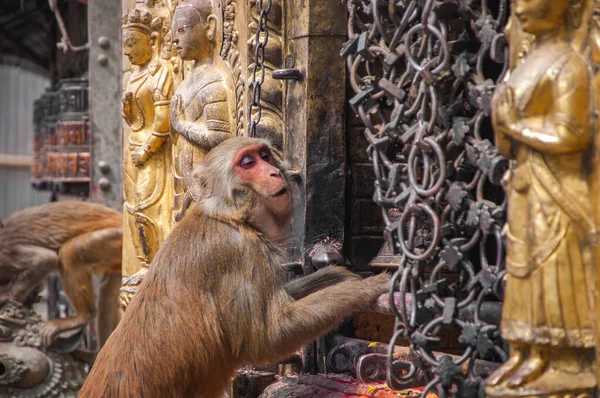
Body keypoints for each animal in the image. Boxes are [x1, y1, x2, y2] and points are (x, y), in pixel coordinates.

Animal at [0, 202, 122, 348]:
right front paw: (31, 295)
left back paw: (83, 316)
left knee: (71, 252)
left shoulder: (6, 255)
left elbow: (45, 260)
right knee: (107, 297)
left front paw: (8, 296)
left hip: (117, 237)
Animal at [79, 138, 390, 398]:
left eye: (265, 156)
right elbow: (268, 337)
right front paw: (367, 288)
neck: (230, 216)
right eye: (248, 163)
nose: (274, 172)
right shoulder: (238, 252)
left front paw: (336, 275)